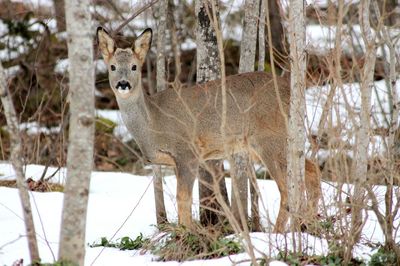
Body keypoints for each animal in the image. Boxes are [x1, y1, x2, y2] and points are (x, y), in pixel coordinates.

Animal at [97, 27, 322, 233]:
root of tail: (290, 91)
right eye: (113, 66)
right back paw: (308, 223)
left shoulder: (187, 152)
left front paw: (188, 235)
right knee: (312, 169)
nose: (123, 84)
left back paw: (278, 233)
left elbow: (183, 198)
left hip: (269, 139)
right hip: (270, 143)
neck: (153, 124)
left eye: (134, 66)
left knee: (288, 189)